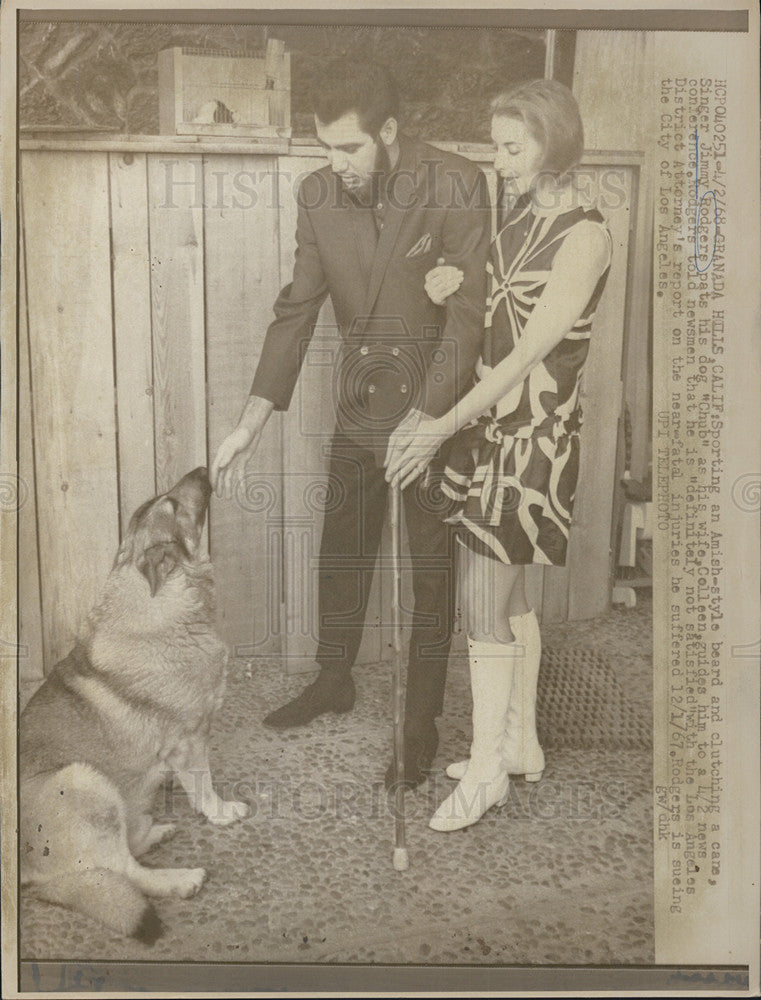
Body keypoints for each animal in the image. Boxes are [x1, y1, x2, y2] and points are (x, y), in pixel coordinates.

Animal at [20, 468, 249, 944]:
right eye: (173, 506)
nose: (203, 470)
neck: (163, 597)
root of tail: (35, 880)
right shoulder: (189, 741)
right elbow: (204, 786)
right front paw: (222, 813)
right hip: (83, 781)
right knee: (124, 872)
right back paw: (182, 879)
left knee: (126, 849)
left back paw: (154, 829)